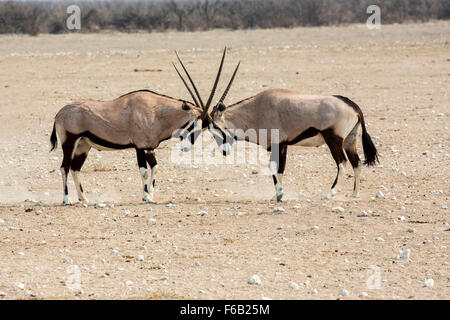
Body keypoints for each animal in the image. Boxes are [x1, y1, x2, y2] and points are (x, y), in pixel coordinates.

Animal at [49, 50, 227, 205]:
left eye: (203, 129)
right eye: (191, 123)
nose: (185, 148)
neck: (155, 112)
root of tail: (60, 113)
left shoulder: (150, 148)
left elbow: (155, 167)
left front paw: (151, 195)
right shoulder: (139, 147)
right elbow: (144, 170)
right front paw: (146, 196)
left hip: (83, 146)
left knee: (75, 168)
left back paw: (84, 199)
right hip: (69, 142)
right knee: (64, 167)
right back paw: (66, 200)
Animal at [209, 89, 378, 201]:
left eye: (215, 126)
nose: (224, 151)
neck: (256, 110)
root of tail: (353, 106)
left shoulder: (277, 145)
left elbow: (273, 166)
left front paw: (279, 195)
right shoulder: (283, 146)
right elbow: (281, 169)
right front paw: (276, 195)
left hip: (334, 140)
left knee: (342, 163)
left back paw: (330, 193)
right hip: (350, 140)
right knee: (356, 163)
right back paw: (354, 194)